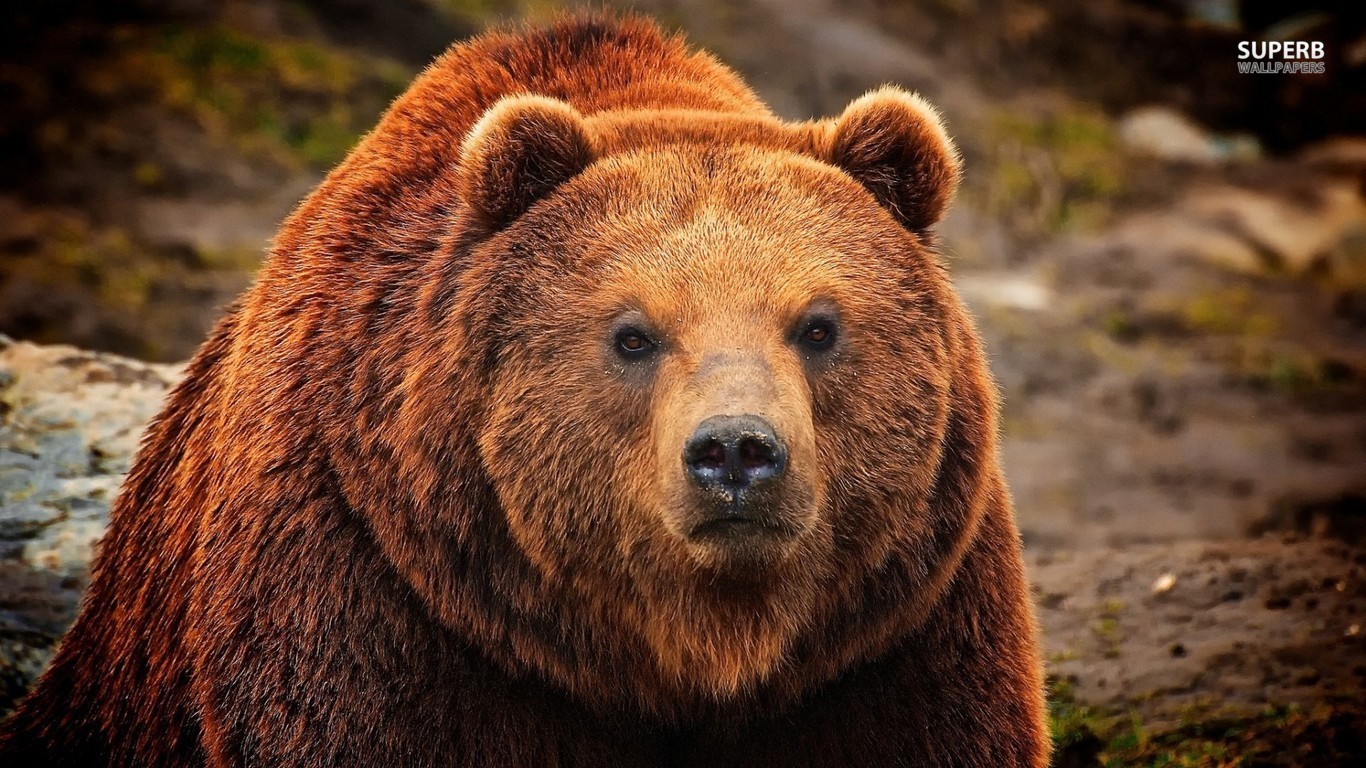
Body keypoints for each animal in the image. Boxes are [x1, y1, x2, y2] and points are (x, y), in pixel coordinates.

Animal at [0, 14, 1048, 768]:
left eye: (819, 325)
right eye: (632, 334)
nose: (736, 453)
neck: (684, 654)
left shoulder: (891, 635)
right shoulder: (376, 597)